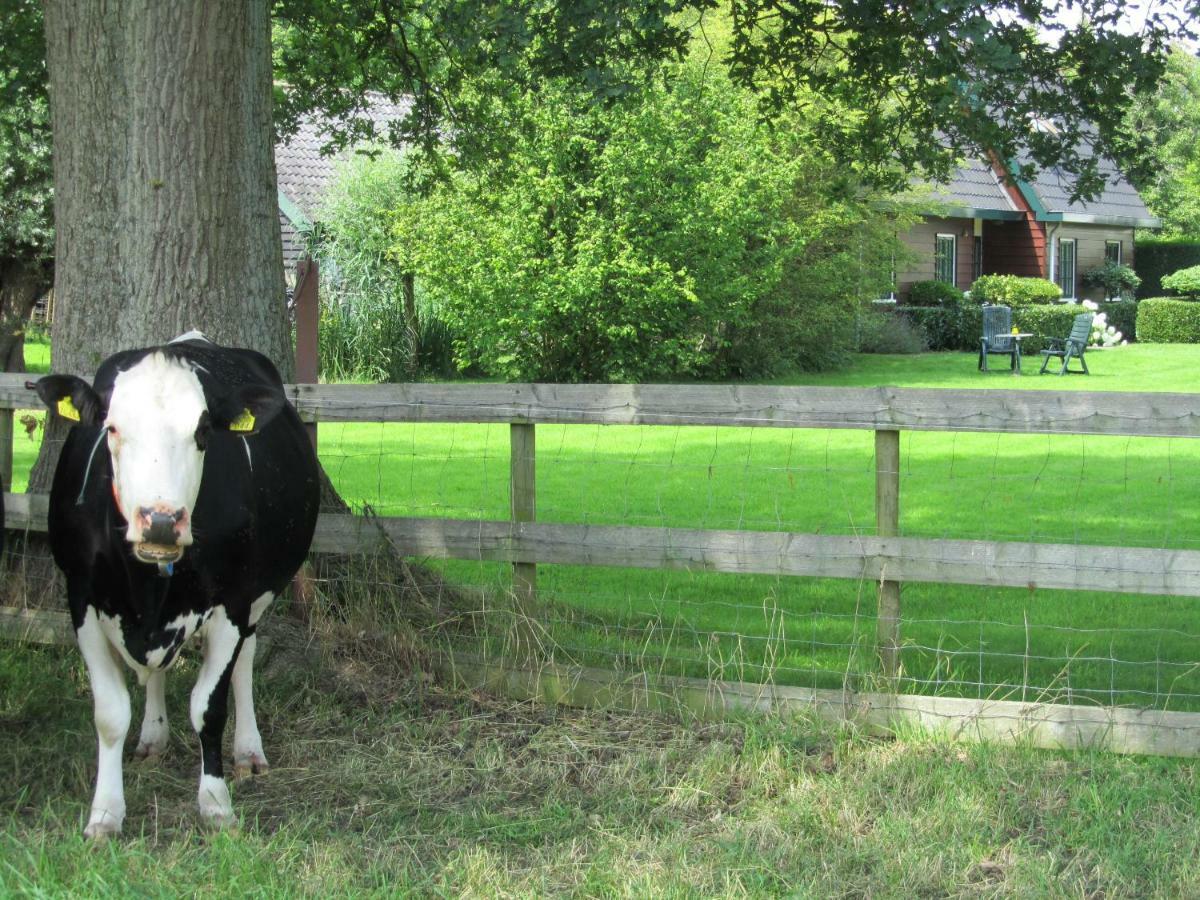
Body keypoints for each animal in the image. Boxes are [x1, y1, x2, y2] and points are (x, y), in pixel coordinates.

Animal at [35, 333, 319, 840]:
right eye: (111, 428)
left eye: (203, 432)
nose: (162, 521)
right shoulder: (81, 600)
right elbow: (110, 714)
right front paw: (105, 813)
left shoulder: (233, 602)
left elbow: (208, 707)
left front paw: (216, 803)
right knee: (155, 673)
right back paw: (153, 735)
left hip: (257, 595)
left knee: (244, 661)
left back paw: (248, 749)